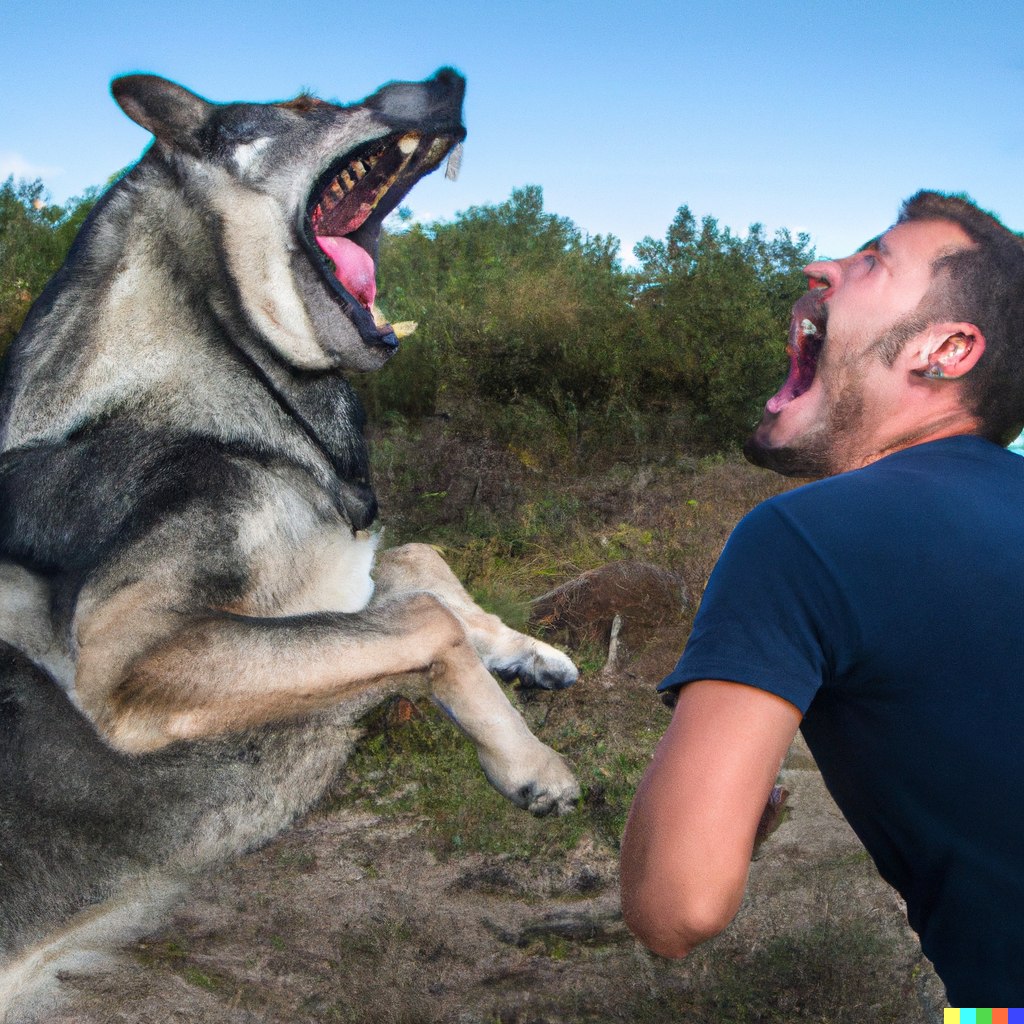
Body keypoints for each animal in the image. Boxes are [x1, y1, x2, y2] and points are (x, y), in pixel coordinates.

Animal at [0, 70, 581, 1015]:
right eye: (308, 107)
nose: (451, 78)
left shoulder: (333, 581)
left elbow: (420, 563)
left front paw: (528, 654)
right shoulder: (133, 655)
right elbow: (425, 618)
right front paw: (530, 762)